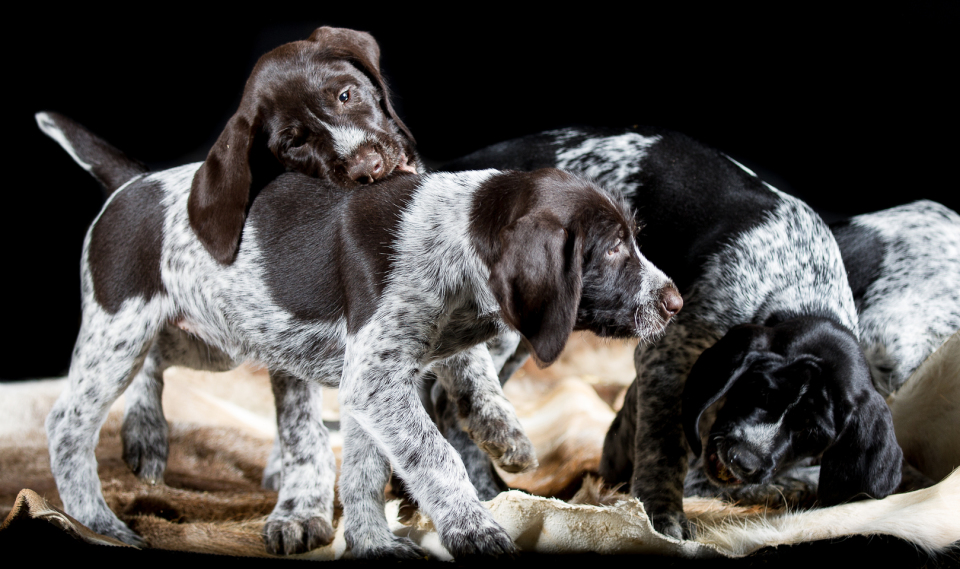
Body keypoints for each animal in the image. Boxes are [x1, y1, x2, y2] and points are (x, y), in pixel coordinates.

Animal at [40, 108, 682, 558]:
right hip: (120, 326)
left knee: (157, 360)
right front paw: (472, 528)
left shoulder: (378, 385)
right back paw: (99, 522)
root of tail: (136, 184)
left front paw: (378, 540)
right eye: (615, 249)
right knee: (67, 422)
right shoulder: (376, 380)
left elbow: (370, 469)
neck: (456, 240)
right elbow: (434, 456)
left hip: (214, 337)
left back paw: (145, 435)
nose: (675, 302)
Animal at [442, 125, 902, 539]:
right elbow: (665, 442)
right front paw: (661, 514)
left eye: (812, 435)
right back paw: (483, 486)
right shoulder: (667, 357)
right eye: (758, 391)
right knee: (459, 404)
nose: (743, 461)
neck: (797, 286)